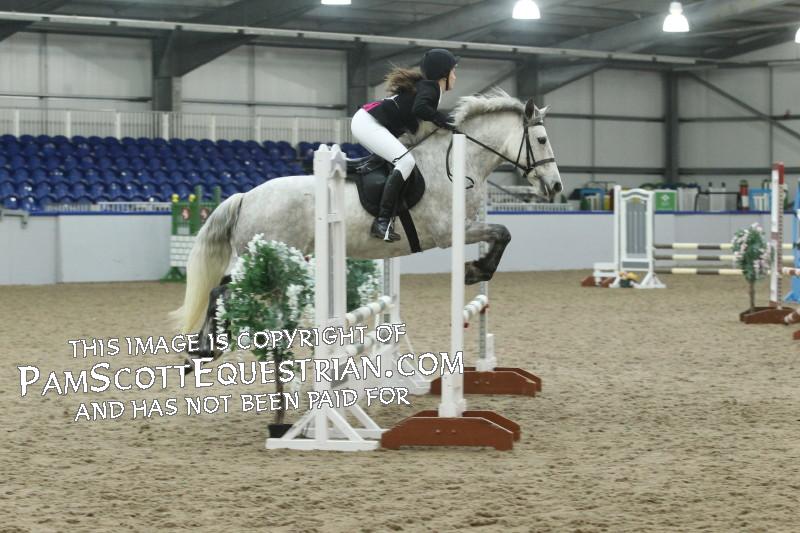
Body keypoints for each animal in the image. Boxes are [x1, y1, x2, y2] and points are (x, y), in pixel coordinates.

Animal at [171, 89, 562, 335]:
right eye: (542, 140)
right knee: (222, 291)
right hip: (266, 255)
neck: (455, 163)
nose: (556, 187)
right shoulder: (450, 232)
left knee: (224, 289)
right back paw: (204, 349)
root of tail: (245, 197)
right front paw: (475, 270)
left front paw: (478, 268)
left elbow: (501, 234)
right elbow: (503, 233)